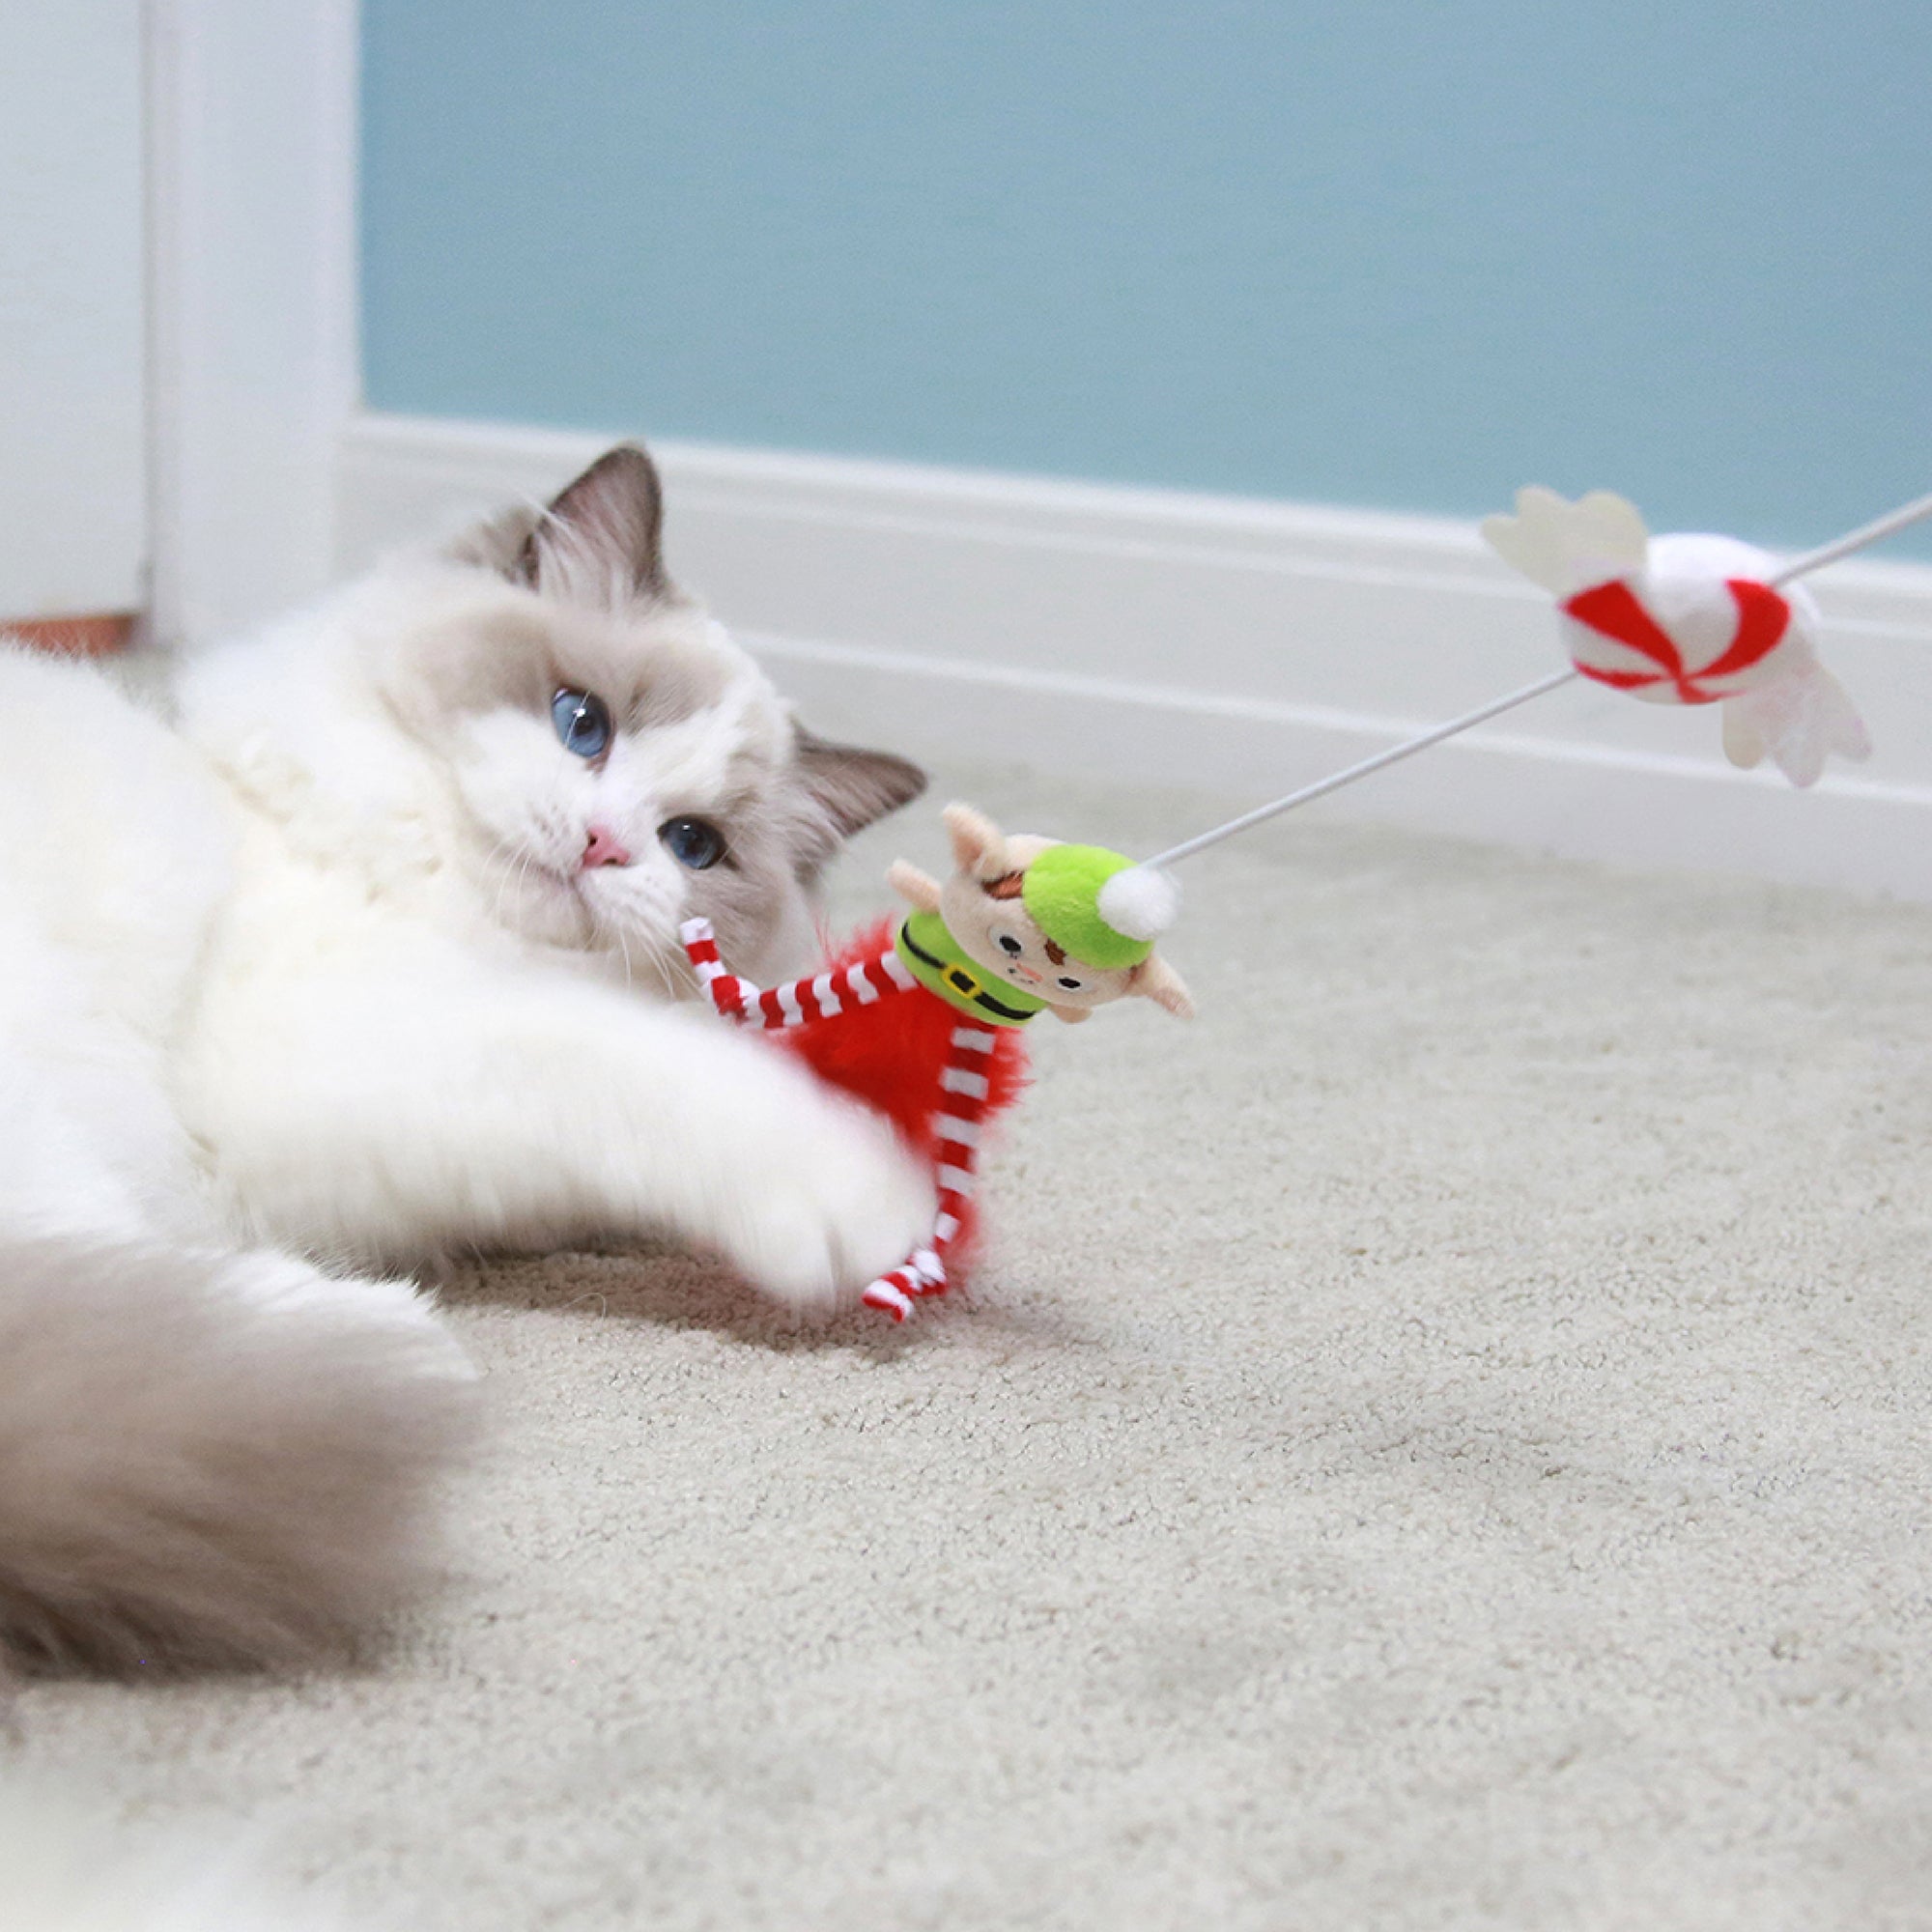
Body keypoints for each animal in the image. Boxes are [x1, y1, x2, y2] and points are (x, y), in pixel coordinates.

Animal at [0, 444, 935, 1685]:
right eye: (580, 722)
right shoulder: (337, 1045)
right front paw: (873, 1194)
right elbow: (641, 1071)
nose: (601, 844)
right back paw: (389, 1349)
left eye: (691, 844)